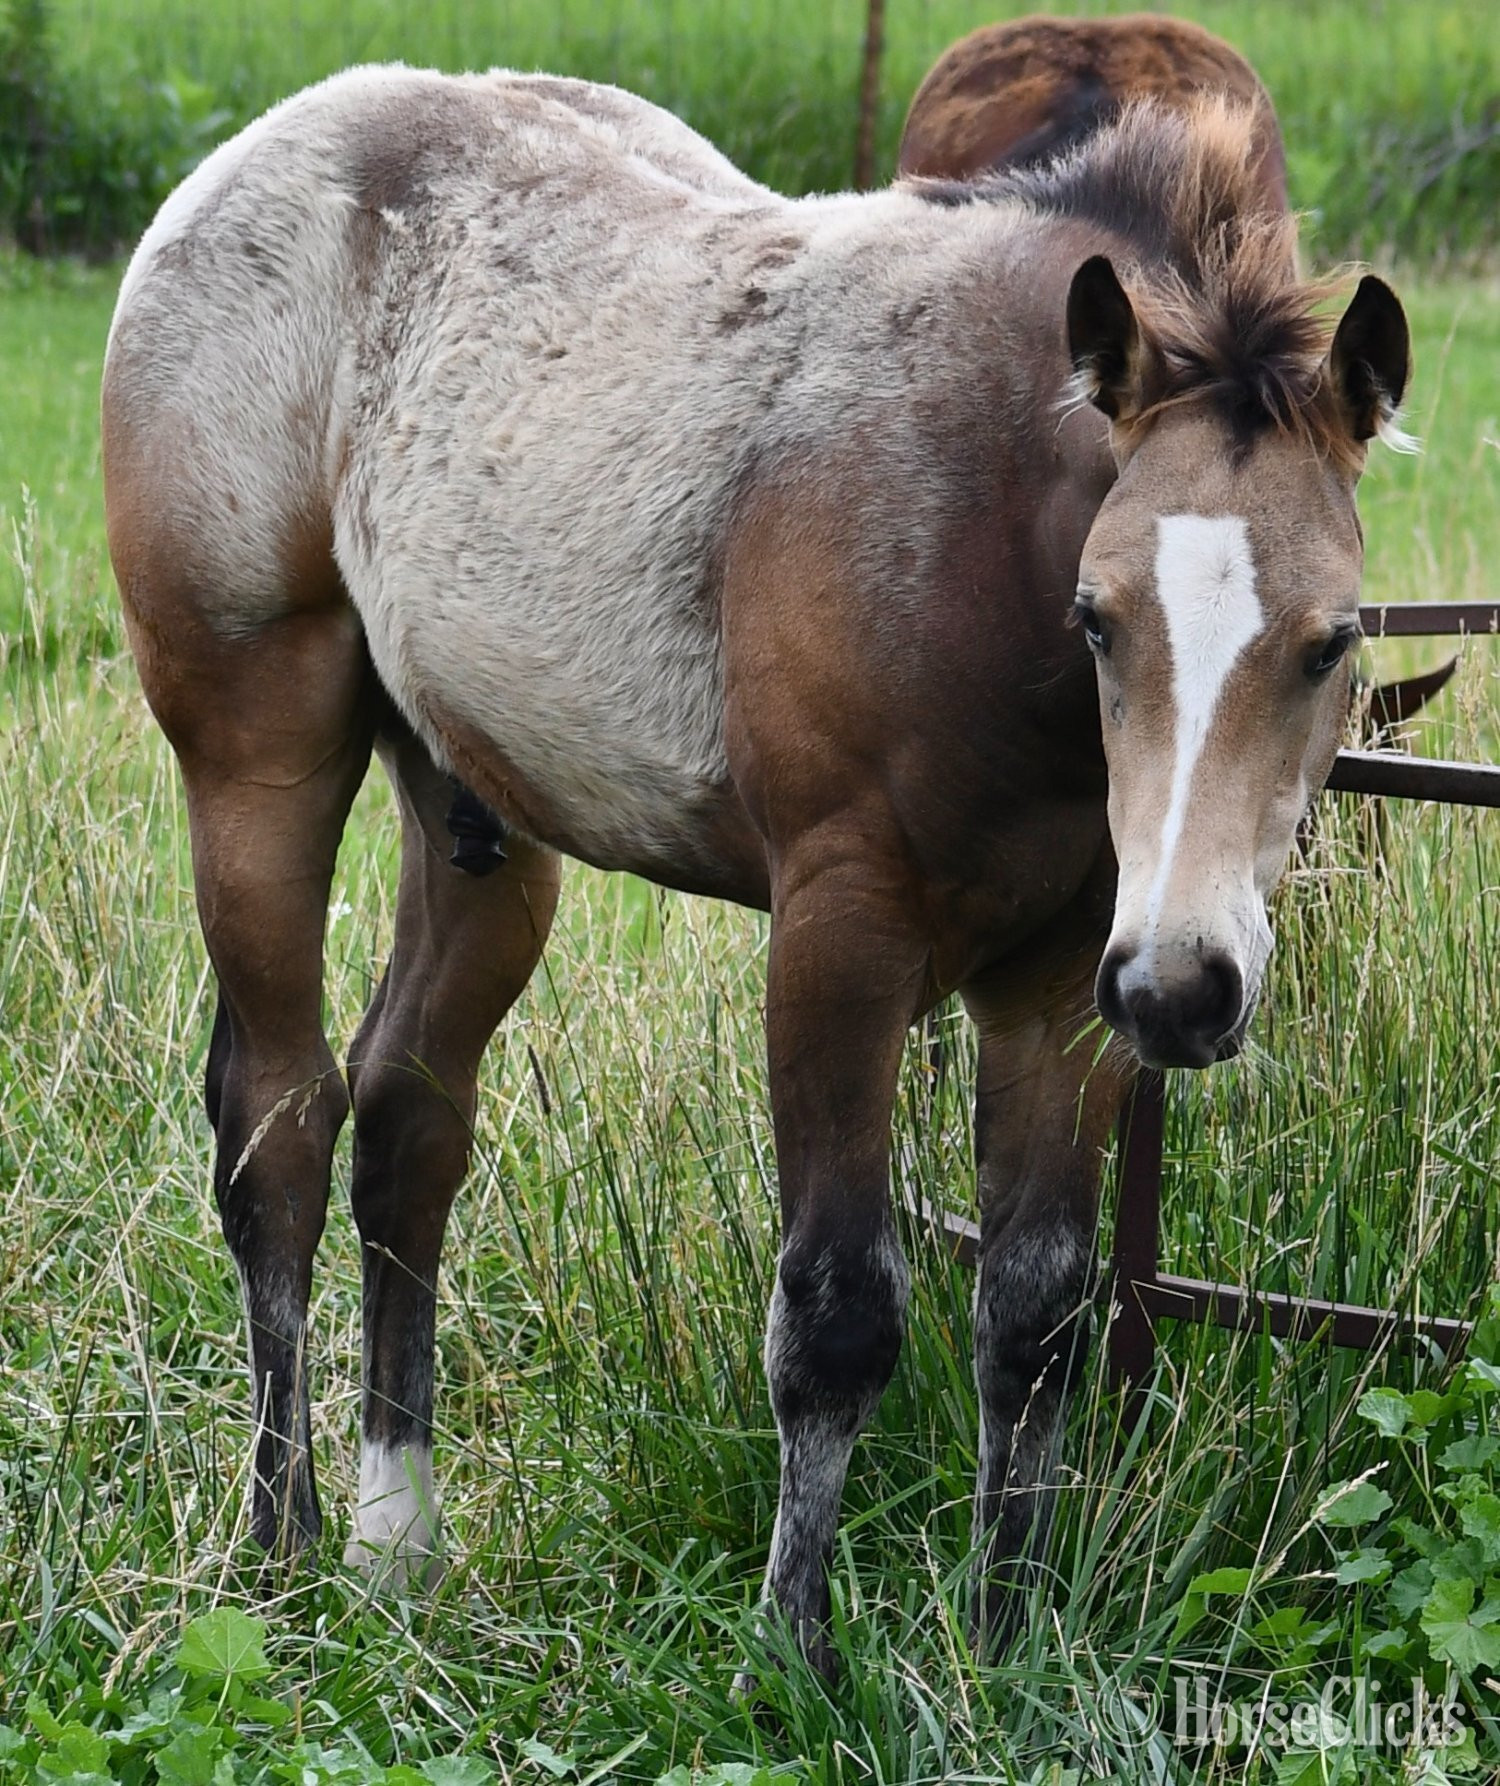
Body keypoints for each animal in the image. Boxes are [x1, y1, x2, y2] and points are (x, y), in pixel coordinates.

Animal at [101, 67, 1409, 1678]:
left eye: (1333, 640)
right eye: (1098, 617)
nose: (1186, 988)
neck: (980, 514)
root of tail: (251, 151)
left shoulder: (1061, 980)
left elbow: (1035, 1313)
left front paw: (1005, 1641)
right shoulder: (842, 931)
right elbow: (838, 1313)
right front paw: (791, 1658)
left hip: (481, 818)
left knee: (408, 1116)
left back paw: (394, 1541)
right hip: (257, 755)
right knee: (277, 1121)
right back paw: (281, 1554)